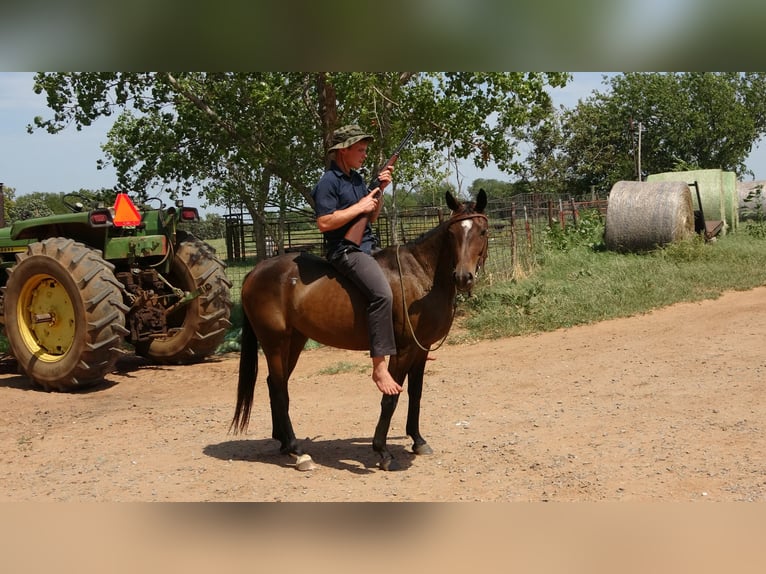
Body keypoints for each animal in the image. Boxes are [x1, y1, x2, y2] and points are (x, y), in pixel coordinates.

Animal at [231, 190, 488, 472]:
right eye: (452, 233)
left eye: (482, 231)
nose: (463, 277)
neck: (421, 275)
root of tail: (255, 272)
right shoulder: (403, 349)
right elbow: (390, 398)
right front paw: (382, 451)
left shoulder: (422, 349)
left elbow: (416, 394)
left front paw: (418, 441)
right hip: (274, 342)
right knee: (278, 387)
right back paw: (297, 451)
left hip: (294, 340)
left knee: (276, 384)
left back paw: (284, 442)